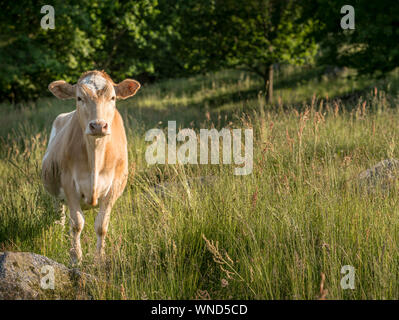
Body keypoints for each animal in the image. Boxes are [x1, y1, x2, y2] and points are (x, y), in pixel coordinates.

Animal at [42, 69, 141, 262]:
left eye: (113, 97)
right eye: (79, 98)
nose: (98, 125)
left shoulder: (114, 187)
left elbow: (101, 225)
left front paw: (99, 258)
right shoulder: (69, 184)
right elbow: (76, 224)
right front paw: (76, 258)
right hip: (56, 191)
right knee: (60, 214)